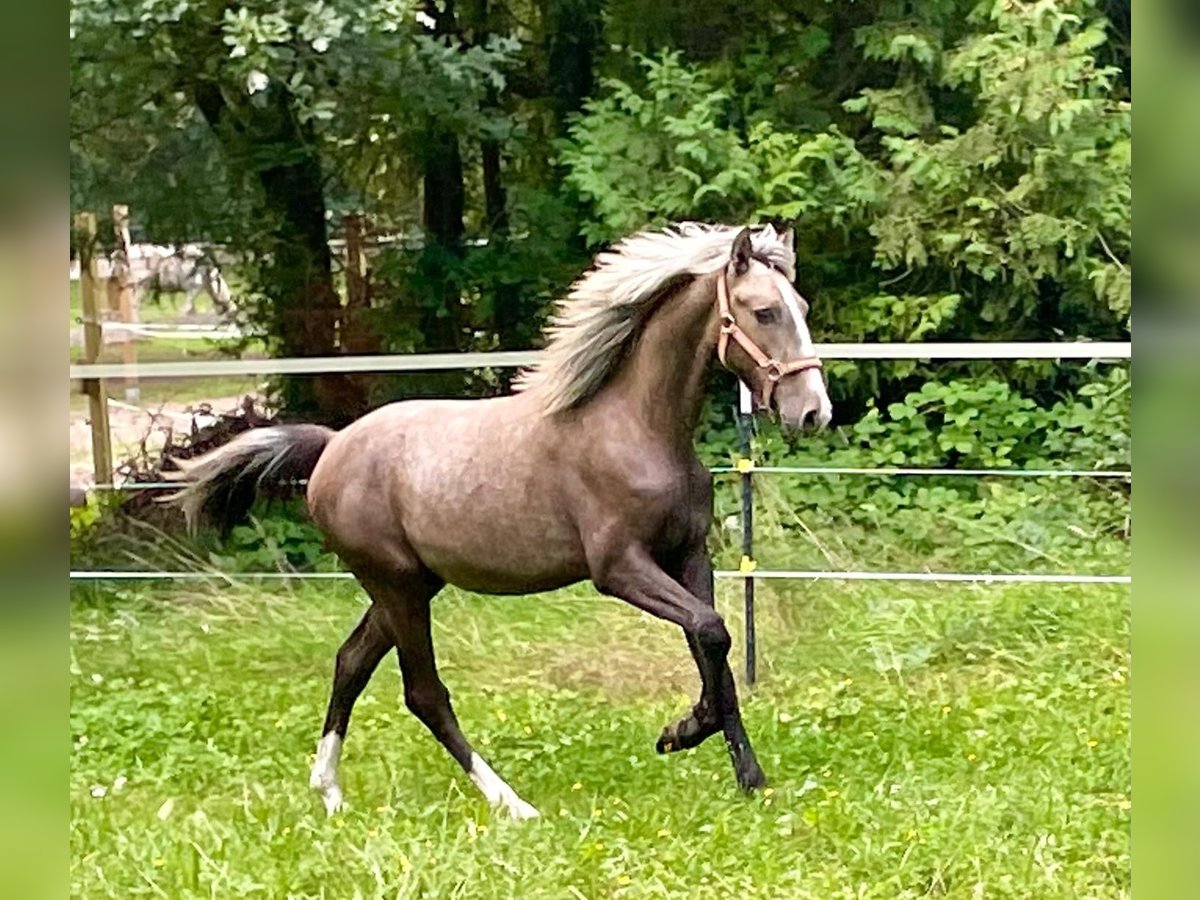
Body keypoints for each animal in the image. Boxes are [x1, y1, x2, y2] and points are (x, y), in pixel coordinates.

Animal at [164, 222, 830, 820]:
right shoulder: (619, 569)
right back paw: (511, 803)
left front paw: (730, 763)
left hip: (406, 586)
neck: (634, 427)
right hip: (398, 586)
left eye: (800, 307)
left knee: (350, 662)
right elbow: (712, 631)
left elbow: (710, 642)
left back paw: (329, 791)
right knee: (423, 692)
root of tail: (331, 448)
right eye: (764, 312)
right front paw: (687, 733)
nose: (813, 413)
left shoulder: (689, 555)